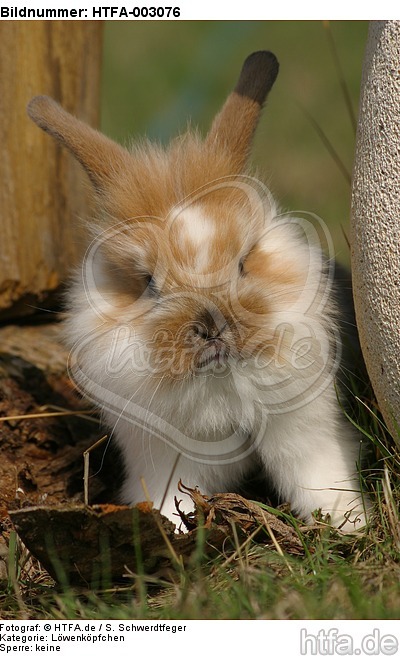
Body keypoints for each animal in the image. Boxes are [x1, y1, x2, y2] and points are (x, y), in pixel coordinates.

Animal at [28, 51, 370, 532]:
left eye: (243, 263)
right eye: (148, 283)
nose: (211, 326)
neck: (222, 385)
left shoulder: (308, 433)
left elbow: (318, 477)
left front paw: (348, 527)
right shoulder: (166, 457)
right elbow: (171, 498)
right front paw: (167, 529)